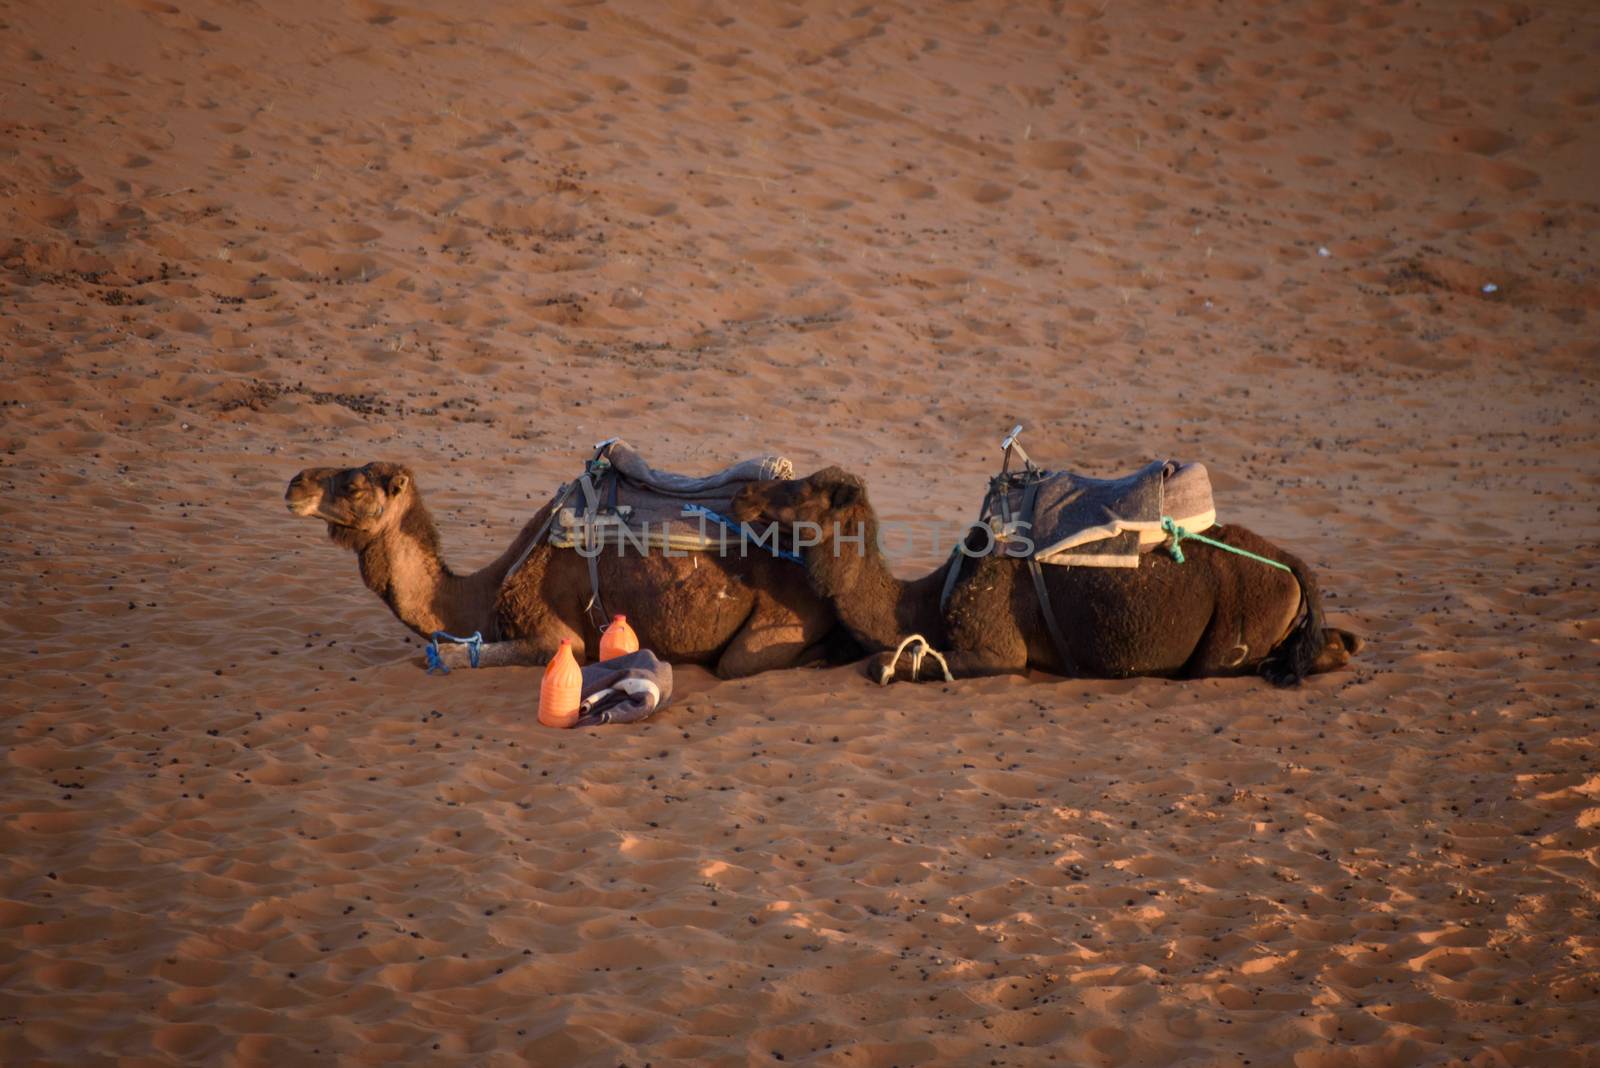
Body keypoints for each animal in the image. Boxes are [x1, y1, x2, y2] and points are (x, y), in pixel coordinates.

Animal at [732, 466, 1356, 684]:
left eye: (802, 491)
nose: (743, 493)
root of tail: (1289, 564)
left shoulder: (995, 647)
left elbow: (881, 662)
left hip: (1234, 633)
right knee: (1341, 641)